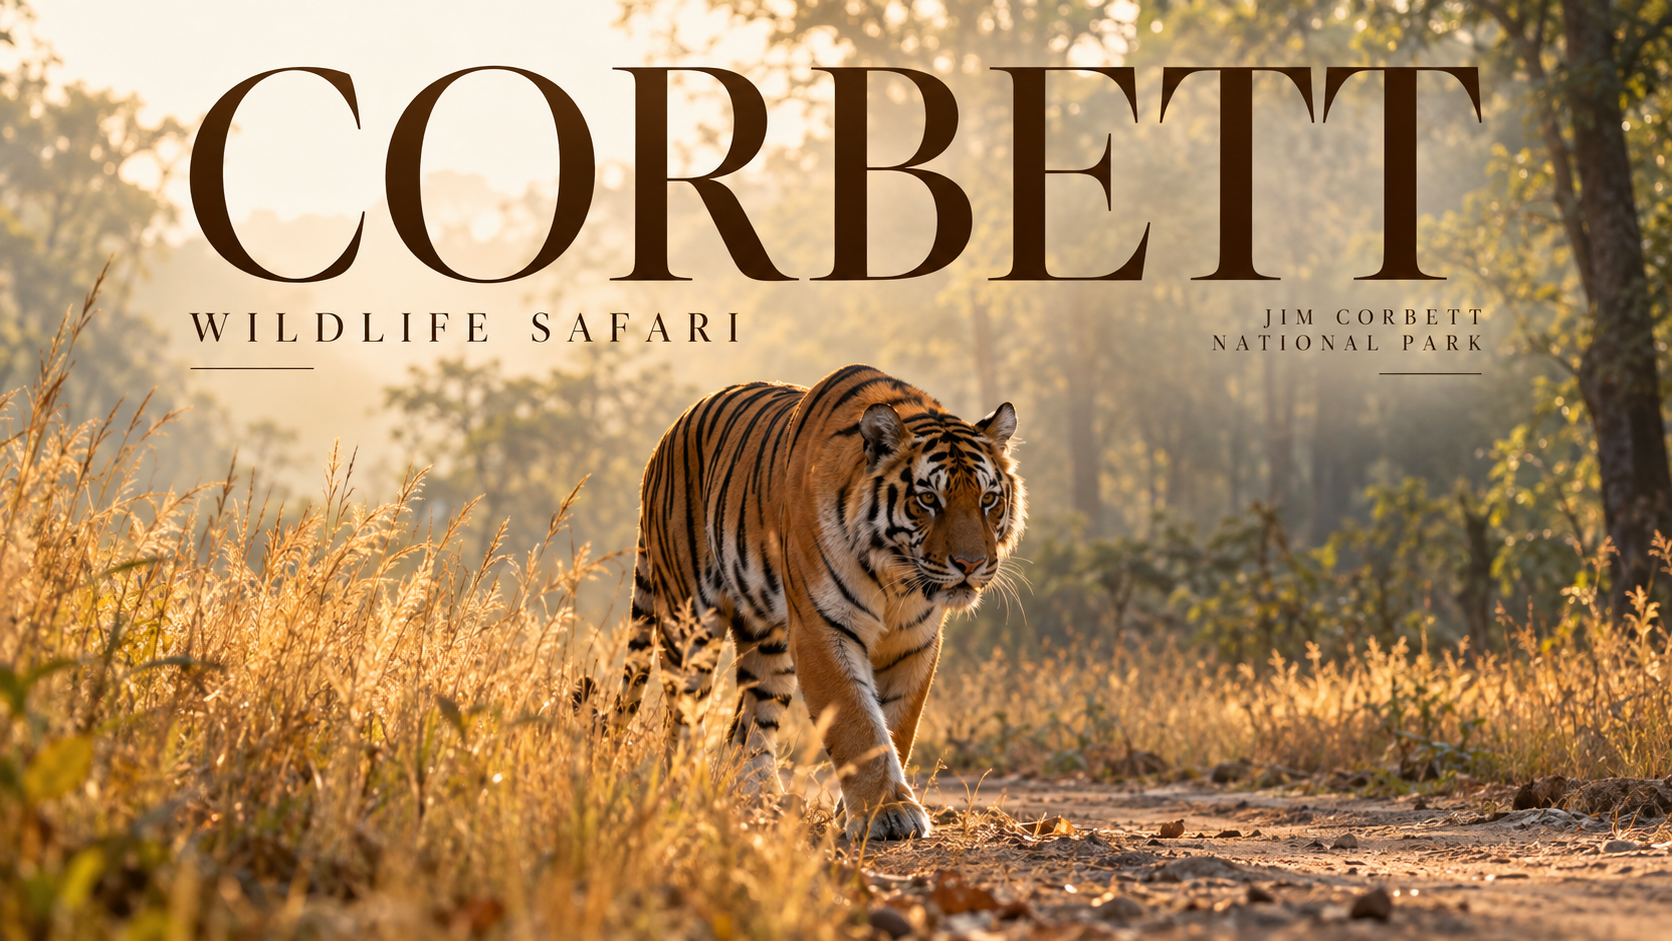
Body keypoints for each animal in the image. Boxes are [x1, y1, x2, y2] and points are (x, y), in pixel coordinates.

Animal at [619, 363, 1026, 840]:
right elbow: (857, 722)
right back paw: (684, 794)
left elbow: (897, 725)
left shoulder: (915, 641)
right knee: (681, 718)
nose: (970, 564)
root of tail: (664, 440)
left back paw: (763, 803)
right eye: (928, 499)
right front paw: (886, 812)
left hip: (769, 644)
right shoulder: (821, 627)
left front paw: (864, 808)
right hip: (689, 623)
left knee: (749, 725)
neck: (896, 579)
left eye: (988, 499)